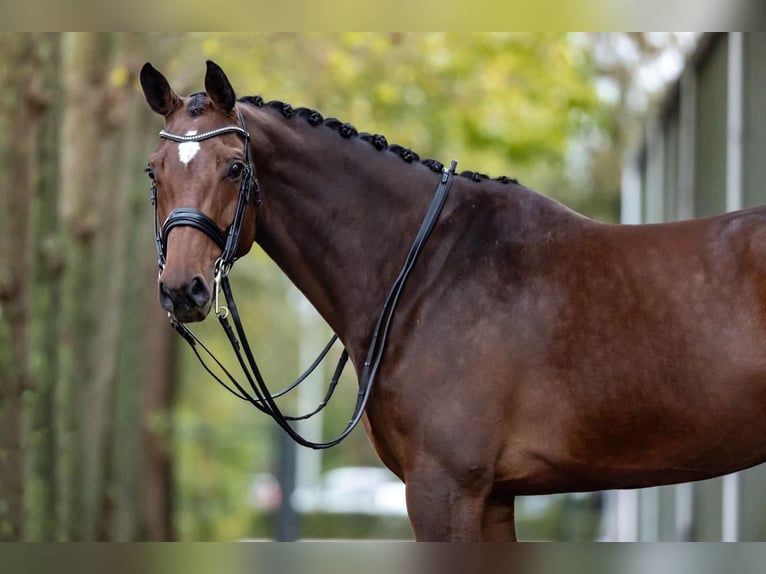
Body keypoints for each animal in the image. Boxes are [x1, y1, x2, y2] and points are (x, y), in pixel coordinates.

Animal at [141, 60, 766, 544]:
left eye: (235, 167)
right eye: (154, 171)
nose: (182, 289)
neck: (429, 270)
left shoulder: (445, 489)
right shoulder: (492, 497)